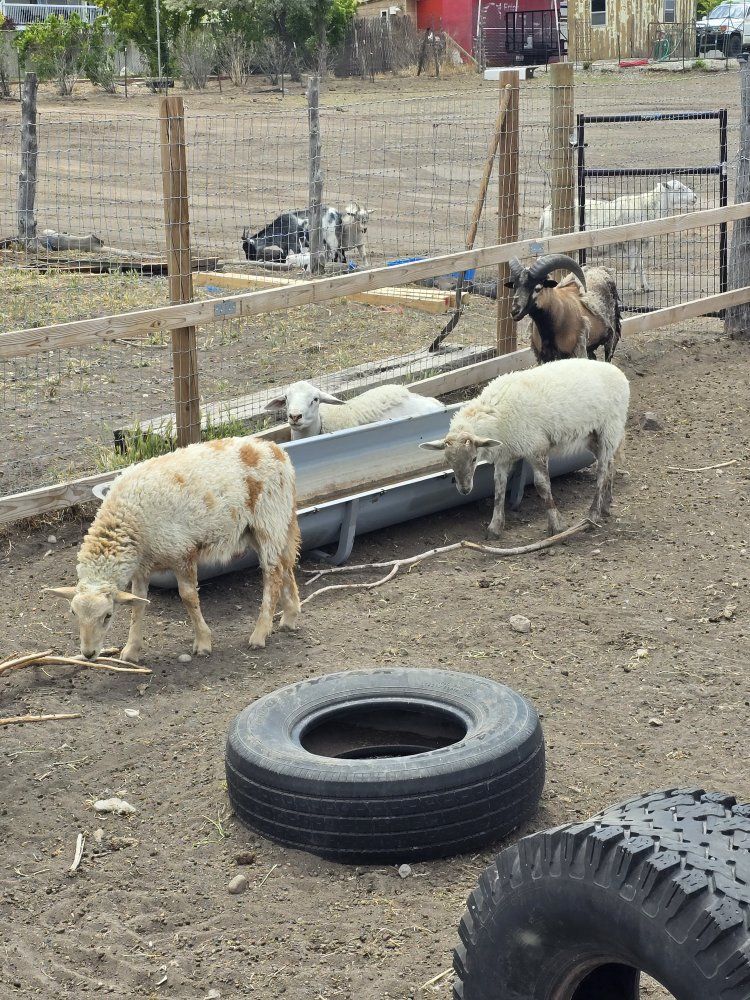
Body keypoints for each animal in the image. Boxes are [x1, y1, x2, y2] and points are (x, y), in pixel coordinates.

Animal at [45, 437, 301, 662]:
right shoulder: (142, 567)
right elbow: (138, 604)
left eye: (108, 615)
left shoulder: (182, 552)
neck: (128, 518)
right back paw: (290, 616)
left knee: (273, 574)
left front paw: (203, 642)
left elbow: (188, 597)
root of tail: (277, 450)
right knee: (285, 565)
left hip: (268, 521)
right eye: (73, 614)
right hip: (264, 527)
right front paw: (131, 650)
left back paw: (260, 633)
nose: (88, 654)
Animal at [420, 358, 630, 538]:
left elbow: (542, 485)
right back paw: (606, 505)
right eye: (448, 461)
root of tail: (619, 373)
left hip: (609, 428)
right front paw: (495, 527)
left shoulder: (536, 447)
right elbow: (499, 486)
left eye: (473, 459)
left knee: (602, 471)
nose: (464, 490)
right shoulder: (504, 455)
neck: (496, 413)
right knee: (610, 463)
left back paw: (593, 515)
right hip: (592, 436)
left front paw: (556, 525)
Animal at [539, 179, 698, 291]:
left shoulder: (640, 244)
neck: (648, 206)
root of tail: (545, 212)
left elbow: (640, 266)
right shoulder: (631, 244)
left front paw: (646, 287)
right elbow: (633, 267)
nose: (695, 197)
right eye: (679, 189)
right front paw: (634, 288)